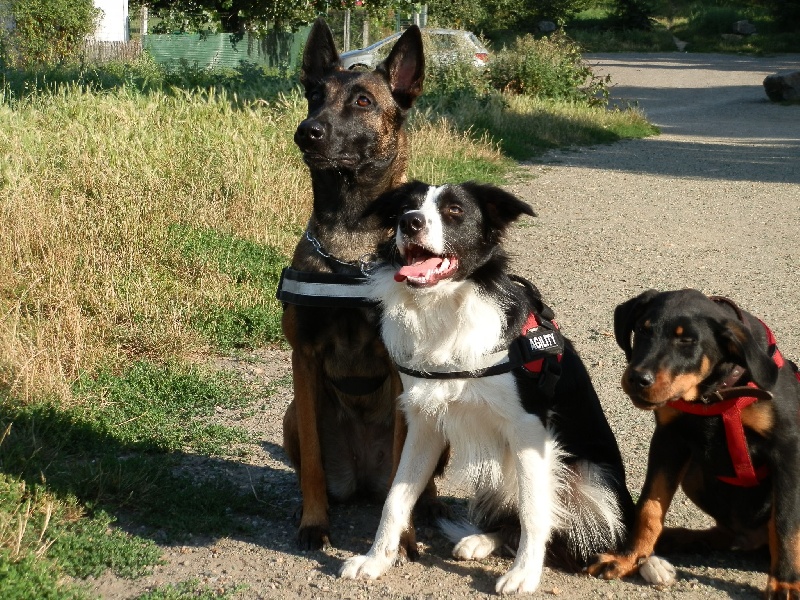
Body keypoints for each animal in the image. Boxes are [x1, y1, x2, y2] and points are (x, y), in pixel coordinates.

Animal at [282, 17, 432, 552]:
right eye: (314, 95)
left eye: (363, 101)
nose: (307, 132)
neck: (349, 244)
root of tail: (363, 482)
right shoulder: (303, 360)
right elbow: (311, 464)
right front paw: (313, 522)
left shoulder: (400, 370)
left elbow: (404, 470)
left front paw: (402, 536)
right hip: (290, 415)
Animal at [340, 180, 636, 592]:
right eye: (404, 208)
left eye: (454, 211)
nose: (410, 222)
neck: (444, 309)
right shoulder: (425, 424)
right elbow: (396, 497)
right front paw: (375, 560)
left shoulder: (529, 428)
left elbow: (534, 511)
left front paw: (525, 574)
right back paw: (480, 540)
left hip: (592, 480)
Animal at [588, 288, 800, 596]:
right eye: (643, 329)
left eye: (687, 340)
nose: (638, 378)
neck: (714, 394)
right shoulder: (668, 439)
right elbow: (649, 506)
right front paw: (628, 557)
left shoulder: (787, 450)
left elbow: (785, 523)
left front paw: (785, 582)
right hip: (694, 473)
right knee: (733, 534)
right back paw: (681, 538)